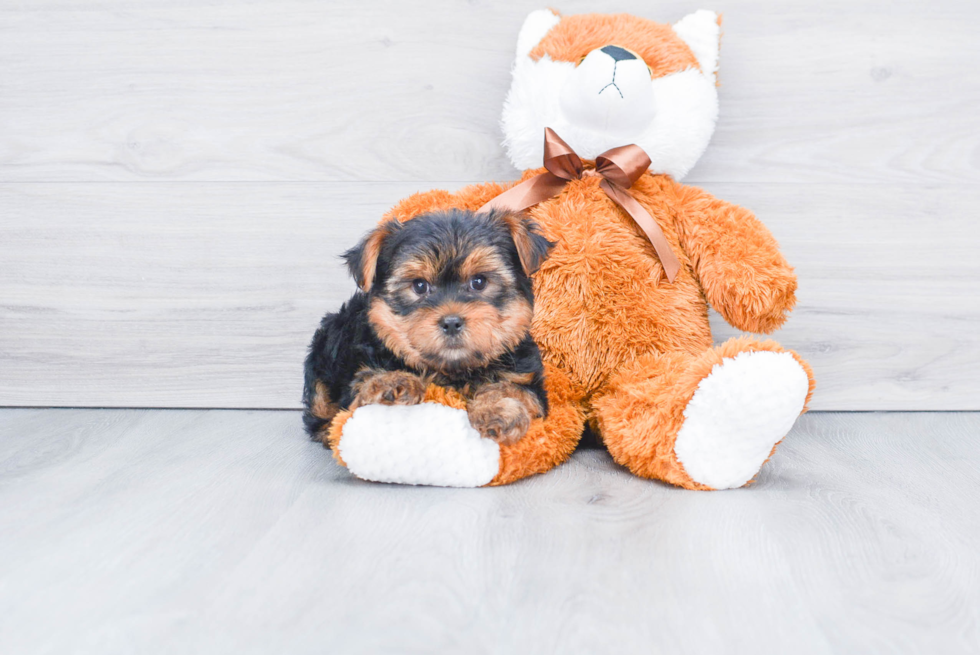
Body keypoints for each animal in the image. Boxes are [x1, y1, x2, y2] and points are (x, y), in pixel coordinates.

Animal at [302, 210, 556, 446]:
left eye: (479, 282)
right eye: (419, 286)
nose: (451, 322)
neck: (453, 370)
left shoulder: (526, 380)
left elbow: (511, 388)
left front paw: (497, 410)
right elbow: (363, 382)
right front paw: (389, 383)